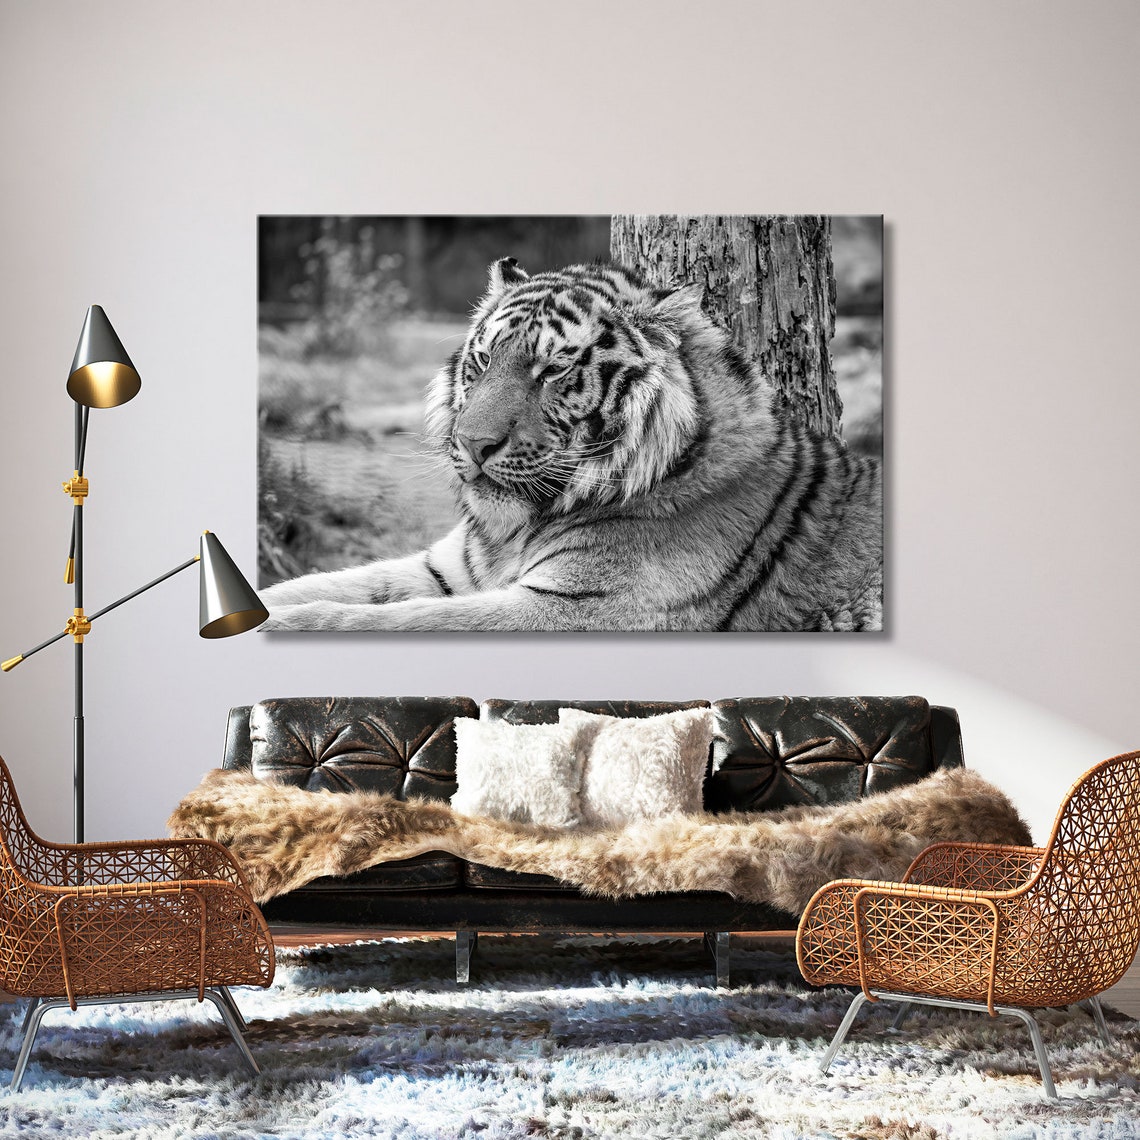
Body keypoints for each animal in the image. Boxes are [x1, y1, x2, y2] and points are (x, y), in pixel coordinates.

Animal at [260, 258, 882, 632]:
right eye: (483, 360)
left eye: (553, 370)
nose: (473, 444)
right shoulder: (450, 570)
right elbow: (318, 585)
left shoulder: (571, 608)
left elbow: (389, 620)